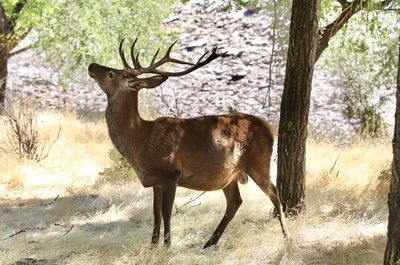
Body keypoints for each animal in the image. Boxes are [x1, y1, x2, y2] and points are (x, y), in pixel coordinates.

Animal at [88, 37, 288, 248]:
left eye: (111, 73)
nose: (92, 65)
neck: (140, 140)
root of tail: (269, 129)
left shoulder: (171, 174)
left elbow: (166, 212)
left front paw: (167, 246)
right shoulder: (156, 181)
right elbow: (155, 213)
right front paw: (152, 245)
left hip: (259, 163)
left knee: (275, 194)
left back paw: (286, 237)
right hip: (229, 174)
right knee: (235, 201)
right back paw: (209, 243)